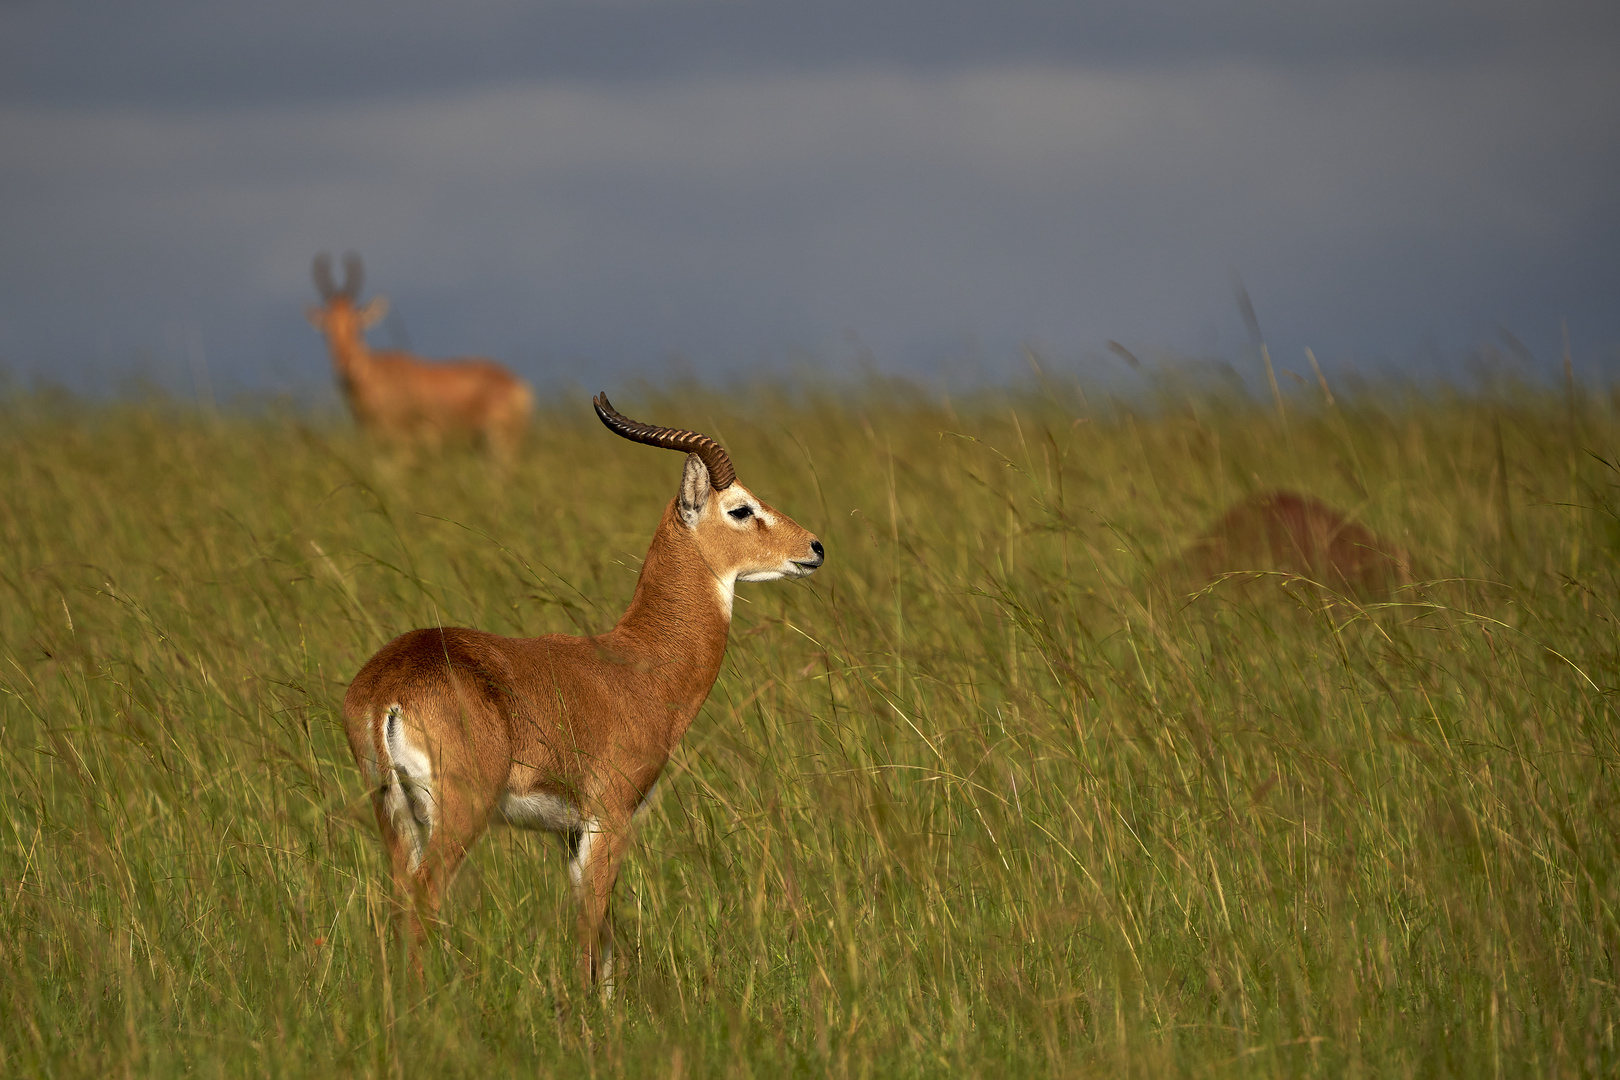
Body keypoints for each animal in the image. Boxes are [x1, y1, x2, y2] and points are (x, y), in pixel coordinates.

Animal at [304, 254, 531, 459]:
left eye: (357, 325)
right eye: (327, 328)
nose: (346, 365)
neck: (377, 371)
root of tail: (518, 386)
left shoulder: (403, 439)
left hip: (500, 442)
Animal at [341, 393, 822, 990]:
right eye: (740, 508)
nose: (814, 547)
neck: (638, 664)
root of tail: (390, 683)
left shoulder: (569, 833)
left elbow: (605, 941)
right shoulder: (609, 818)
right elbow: (590, 937)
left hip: (393, 814)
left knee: (397, 901)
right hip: (458, 813)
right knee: (423, 902)